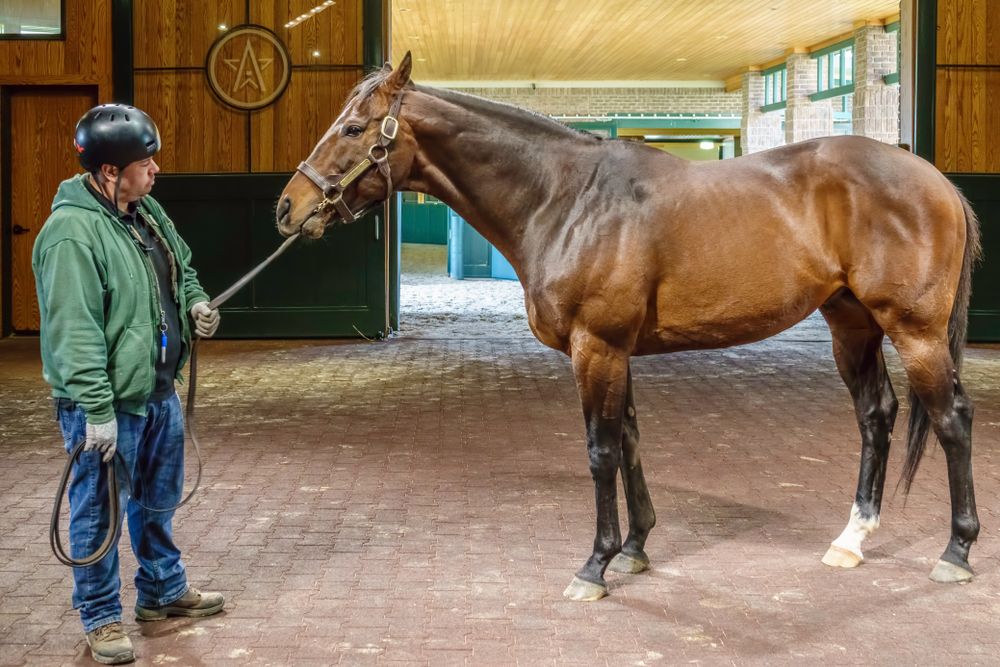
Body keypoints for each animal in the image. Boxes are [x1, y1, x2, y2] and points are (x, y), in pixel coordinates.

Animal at [276, 52, 982, 601]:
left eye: (354, 127)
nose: (288, 207)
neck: (566, 199)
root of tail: (936, 181)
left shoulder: (597, 348)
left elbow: (601, 451)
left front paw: (596, 564)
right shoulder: (617, 352)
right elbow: (632, 442)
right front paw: (638, 547)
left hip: (914, 331)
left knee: (951, 420)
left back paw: (955, 551)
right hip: (851, 325)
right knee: (876, 415)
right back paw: (852, 539)